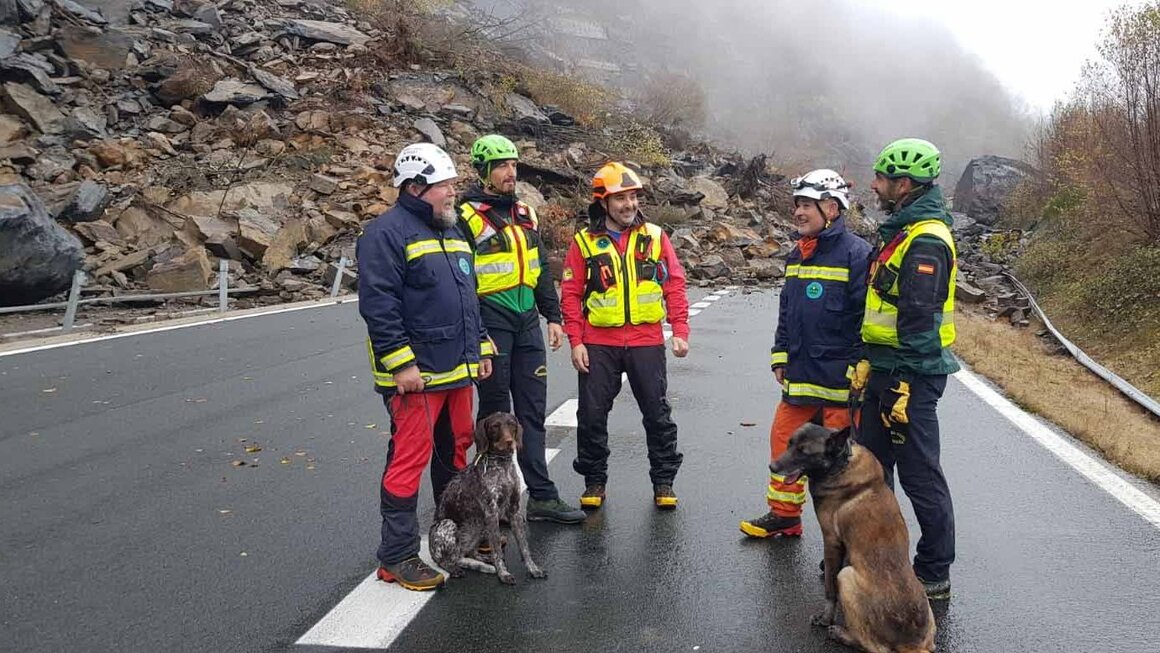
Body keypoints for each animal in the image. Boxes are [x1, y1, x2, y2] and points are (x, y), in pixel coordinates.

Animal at [431, 410, 547, 584]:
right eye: (495, 426)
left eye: (511, 424)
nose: (509, 442)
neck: (502, 465)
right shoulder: (491, 512)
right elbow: (497, 548)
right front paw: (503, 573)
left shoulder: (514, 511)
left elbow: (524, 546)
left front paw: (533, 569)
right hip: (449, 524)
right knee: (449, 561)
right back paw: (458, 569)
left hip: (480, 525)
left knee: (468, 553)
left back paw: (485, 561)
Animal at [770, 422, 932, 649]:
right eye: (789, 444)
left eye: (803, 452)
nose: (772, 467)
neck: (841, 463)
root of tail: (911, 643)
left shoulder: (831, 541)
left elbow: (829, 589)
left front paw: (825, 618)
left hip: (845, 575)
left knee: (872, 645)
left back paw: (841, 634)